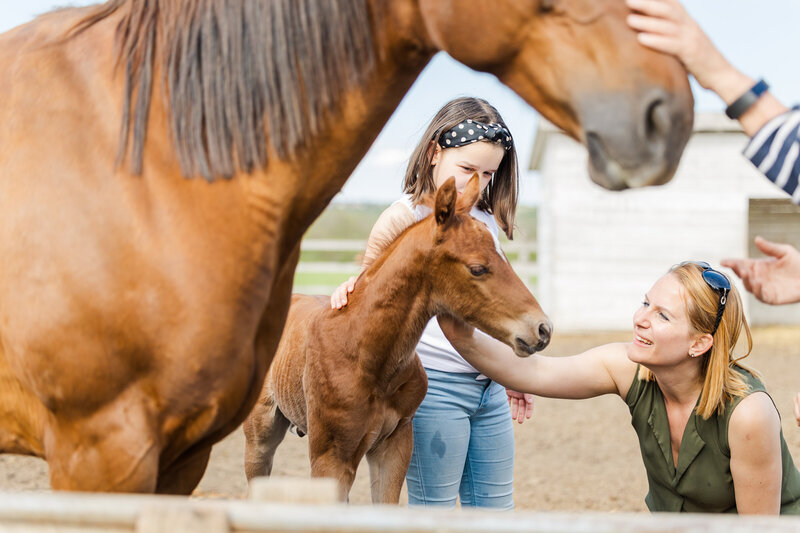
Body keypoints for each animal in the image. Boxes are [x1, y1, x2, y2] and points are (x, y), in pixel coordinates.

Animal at [242, 176, 552, 502]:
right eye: (477, 268)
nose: (542, 329)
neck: (362, 352)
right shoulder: (331, 458)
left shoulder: (394, 447)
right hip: (261, 436)